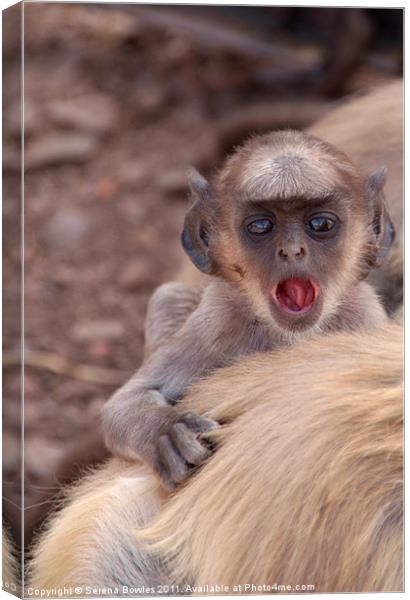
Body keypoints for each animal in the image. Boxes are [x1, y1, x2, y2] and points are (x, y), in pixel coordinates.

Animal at [101, 129, 390, 490]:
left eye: (321, 224)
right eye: (262, 226)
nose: (292, 251)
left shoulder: (365, 318)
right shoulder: (217, 319)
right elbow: (123, 403)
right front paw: (167, 430)